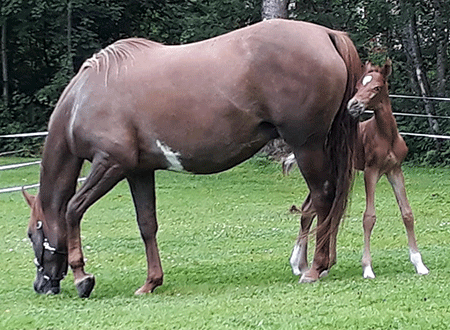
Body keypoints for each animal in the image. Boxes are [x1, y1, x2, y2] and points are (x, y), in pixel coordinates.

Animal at [23, 19, 362, 298]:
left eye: (31, 234)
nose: (41, 286)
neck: (84, 98)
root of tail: (326, 34)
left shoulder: (110, 164)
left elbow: (72, 210)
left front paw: (83, 278)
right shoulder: (138, 171)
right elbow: (146, 224)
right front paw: (151, 282)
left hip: (306, 146)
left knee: (322, 197)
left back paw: (315, 268)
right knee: (327, 199)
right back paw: (321, 263)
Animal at [288, 59, 428, 278]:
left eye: (376, 87)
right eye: (357, 86)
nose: (353, 105)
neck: (386, 136)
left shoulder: (395, 170)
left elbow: (407, 213)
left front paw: (419, 264)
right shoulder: (371, 171)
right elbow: (369, 217)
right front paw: (367, 268)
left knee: (313, 209)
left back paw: (305, 264)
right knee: (310, 209)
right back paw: (299, 264)